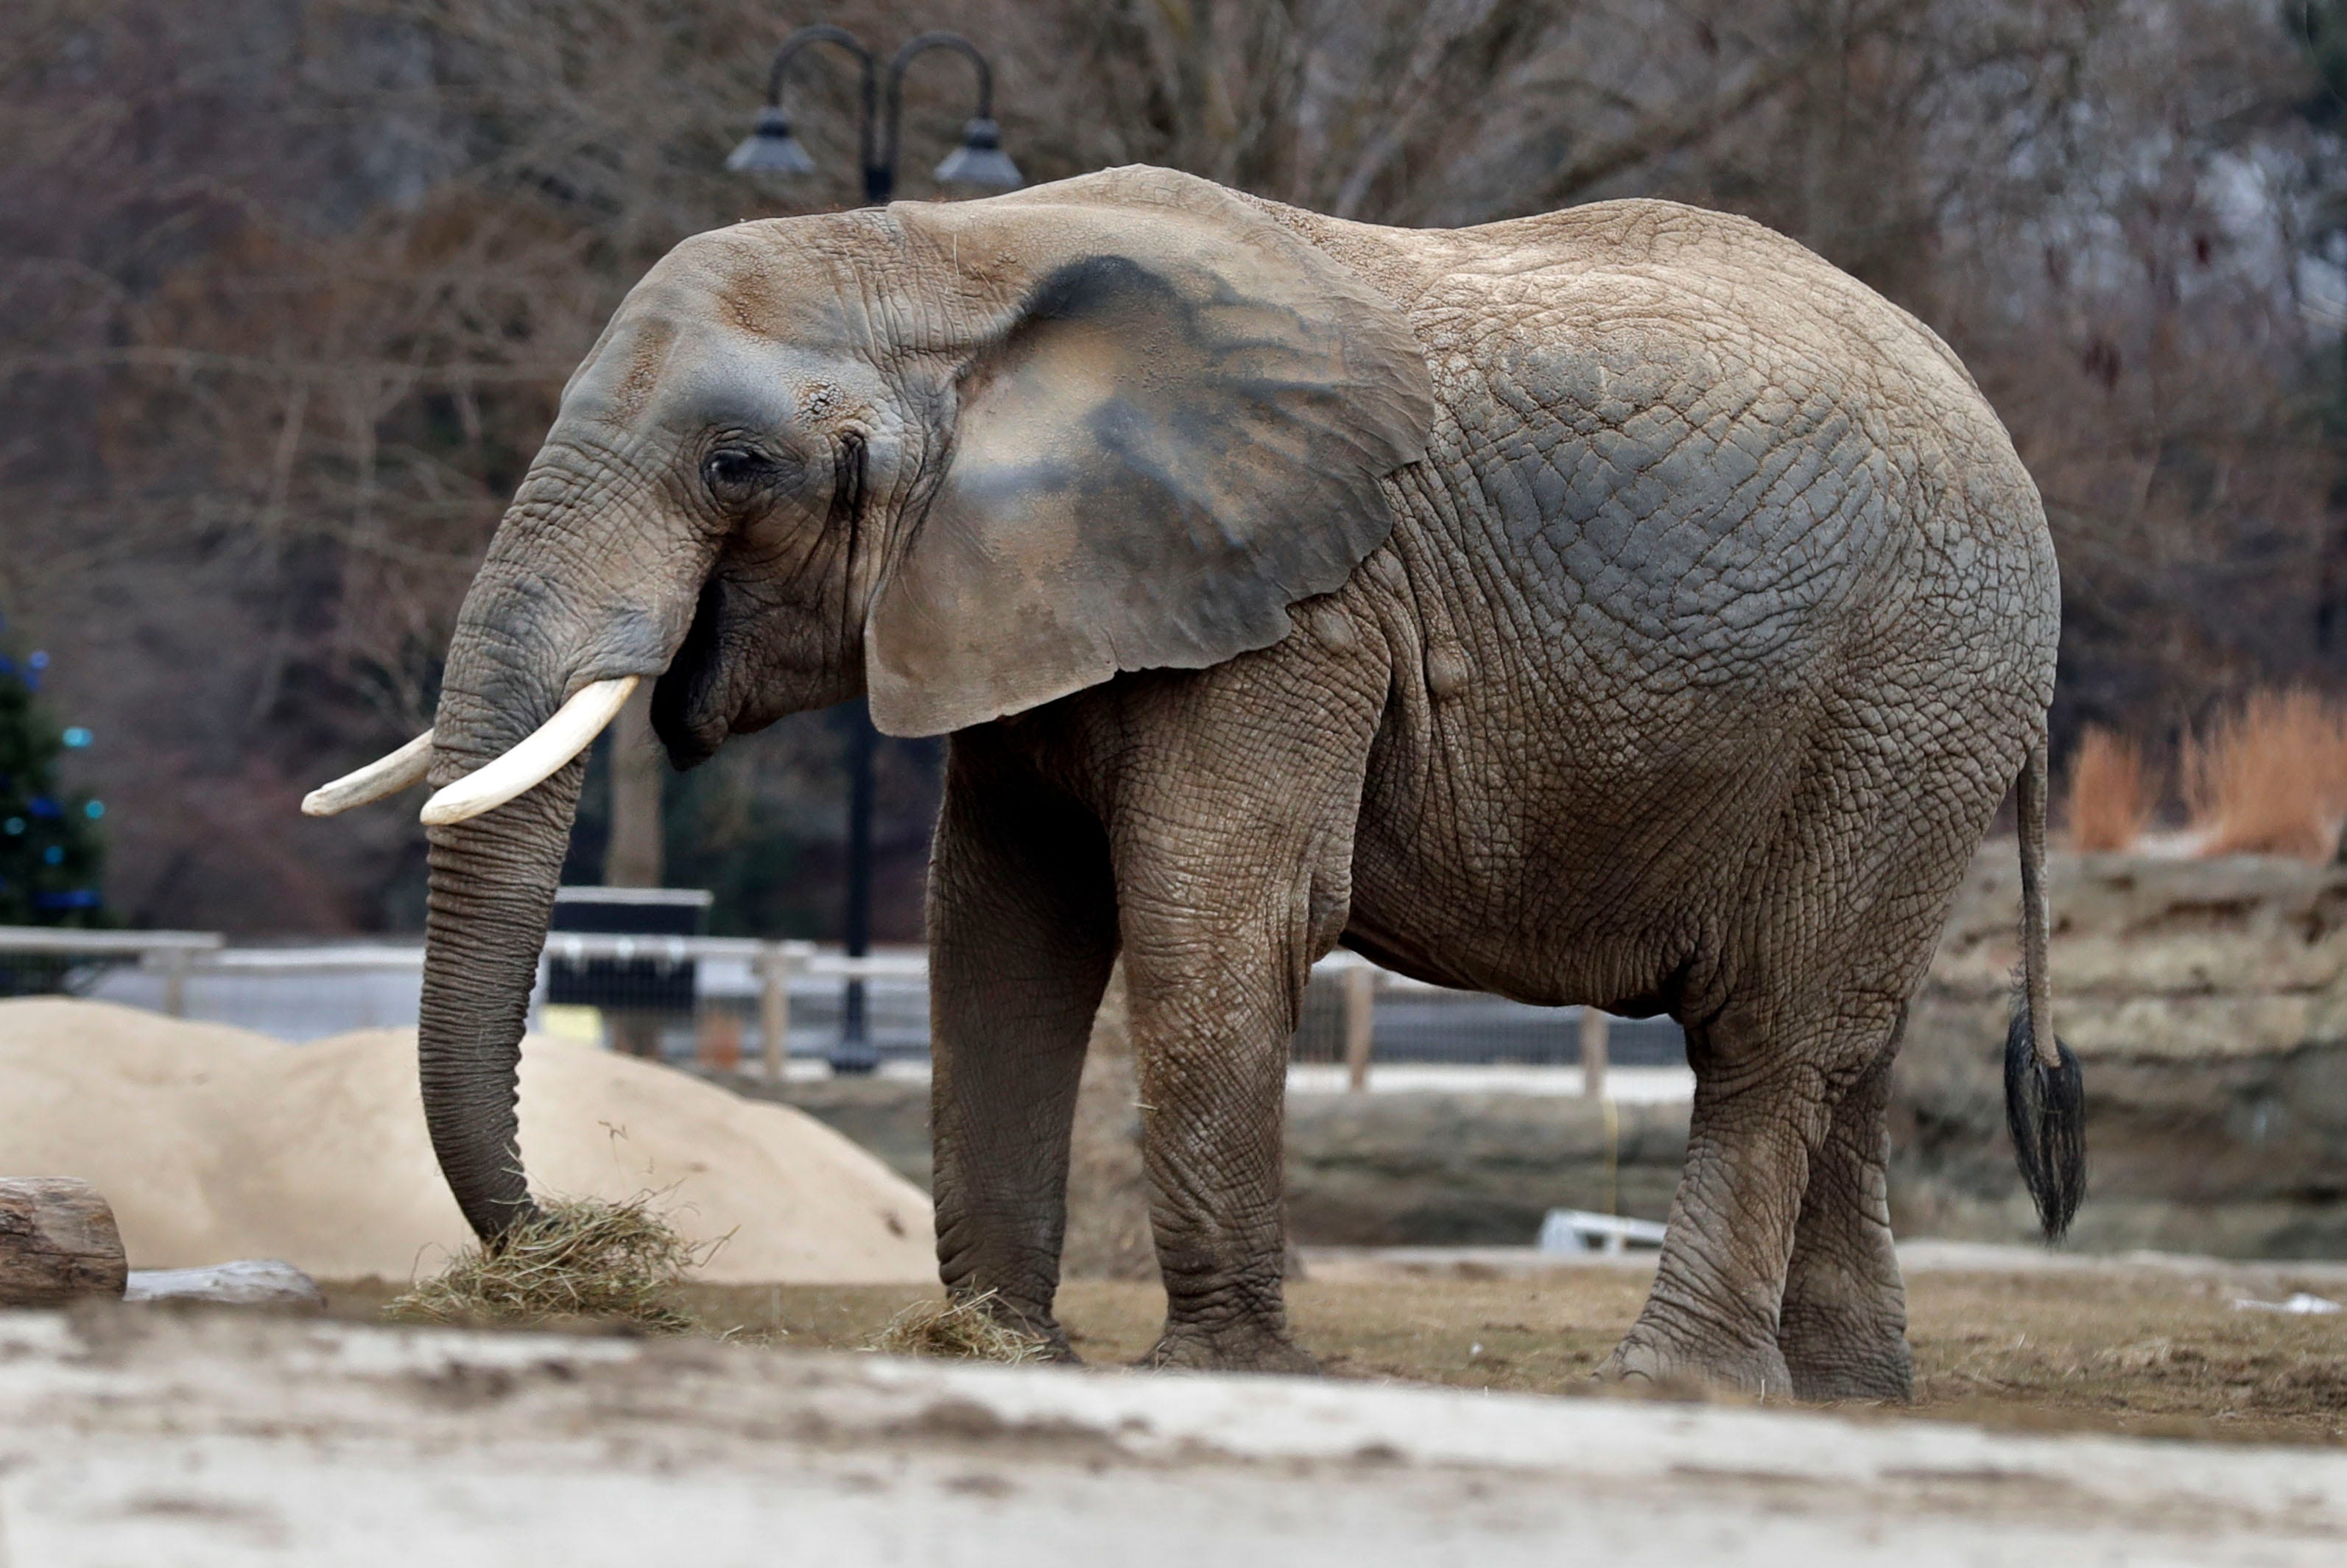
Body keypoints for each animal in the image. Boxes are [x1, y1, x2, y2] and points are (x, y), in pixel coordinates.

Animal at [309, 164, 2084, 1400]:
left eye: (734, 466)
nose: (563, 1238)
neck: (951, 253)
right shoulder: (1029, 593)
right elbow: (997, 933)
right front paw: (1001, 1346)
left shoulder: (1293, 610)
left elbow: (1209, 922)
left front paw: (1221, 1366)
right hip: (1912, 721)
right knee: (1848, 1047)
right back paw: (1846, 1396)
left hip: (1910, 688)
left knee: (1773, 1031)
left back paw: (1675, 1384)